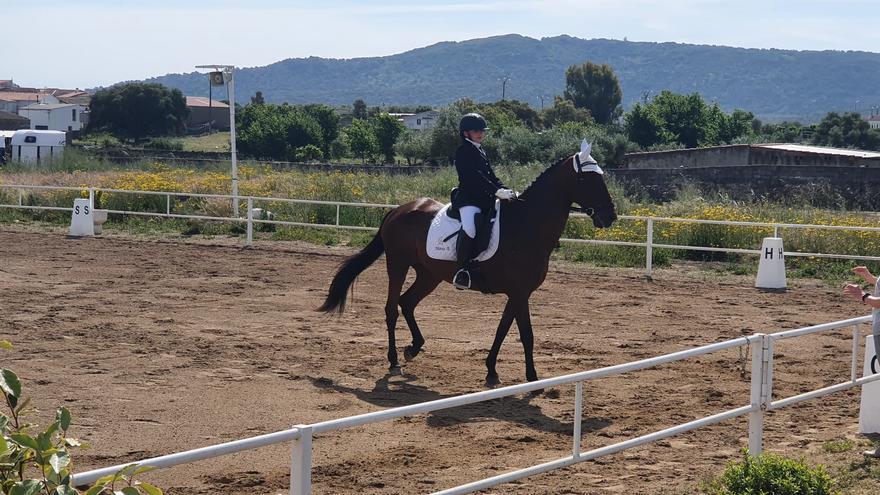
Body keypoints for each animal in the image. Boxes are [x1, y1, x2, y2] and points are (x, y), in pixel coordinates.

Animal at [320, 153, 616, 386]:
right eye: (588, 180)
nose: (610, 216)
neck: (526, 225)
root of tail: (398, 210)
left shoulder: (518, 294)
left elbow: (502, 329)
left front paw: (492, 371)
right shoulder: (520, 293)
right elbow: (526, 335)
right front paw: (532, 379)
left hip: (429, 274)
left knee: (408, 302)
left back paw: (414, 348)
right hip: (398, 265)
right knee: (392, 307)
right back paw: (393, 360)